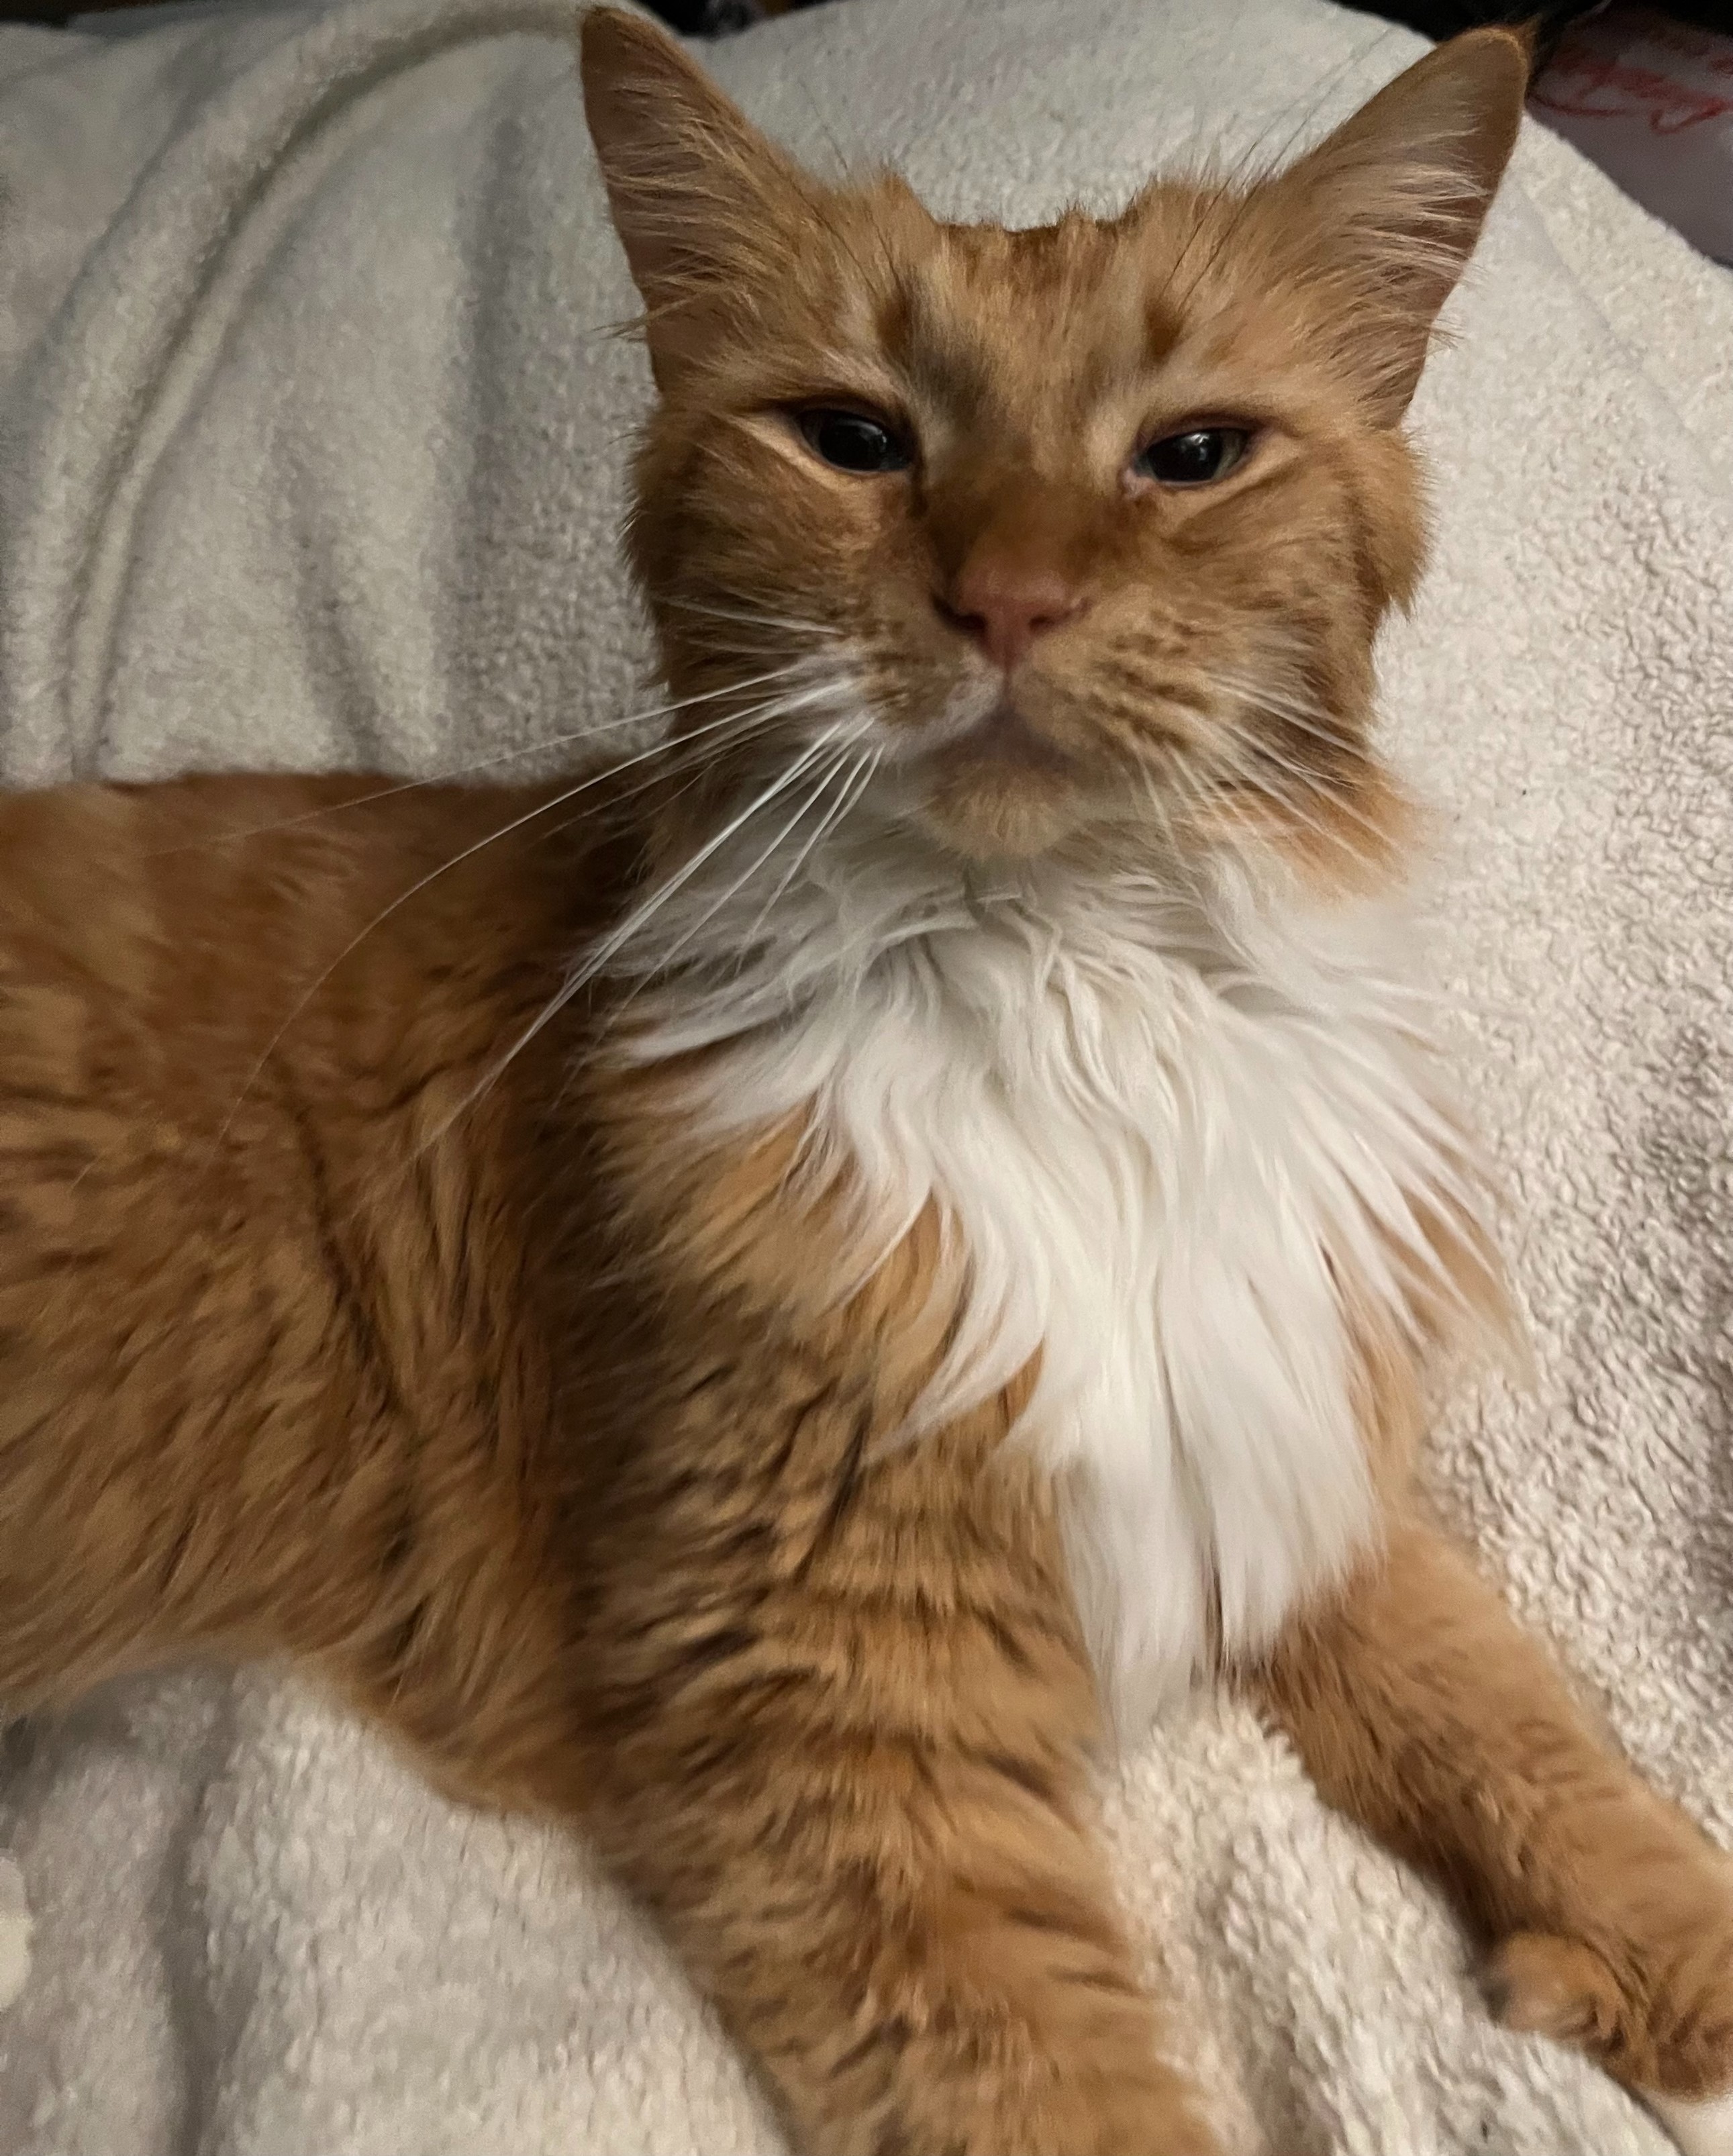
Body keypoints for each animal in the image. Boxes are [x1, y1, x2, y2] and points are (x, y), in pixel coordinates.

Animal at [0, 11, 1730, 2153]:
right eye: (852, 438)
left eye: (1189, 455)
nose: (1006, 600)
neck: (1068, 989)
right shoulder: (821, 1704)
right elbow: (1068, 2092)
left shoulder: (1277, 1445)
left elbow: (1509, 1717)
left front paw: (1665, 1952)